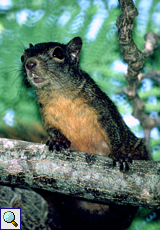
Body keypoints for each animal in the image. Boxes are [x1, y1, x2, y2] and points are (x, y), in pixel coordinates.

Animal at [21, 36, 149, 170]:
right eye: (22, 57)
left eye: (58, 53)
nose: (30, 64)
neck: (59, 95)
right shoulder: (47, 114)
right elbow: (51, 129)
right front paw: (57, 141)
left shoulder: (98, 104)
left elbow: (113, 127)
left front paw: (119, 152)